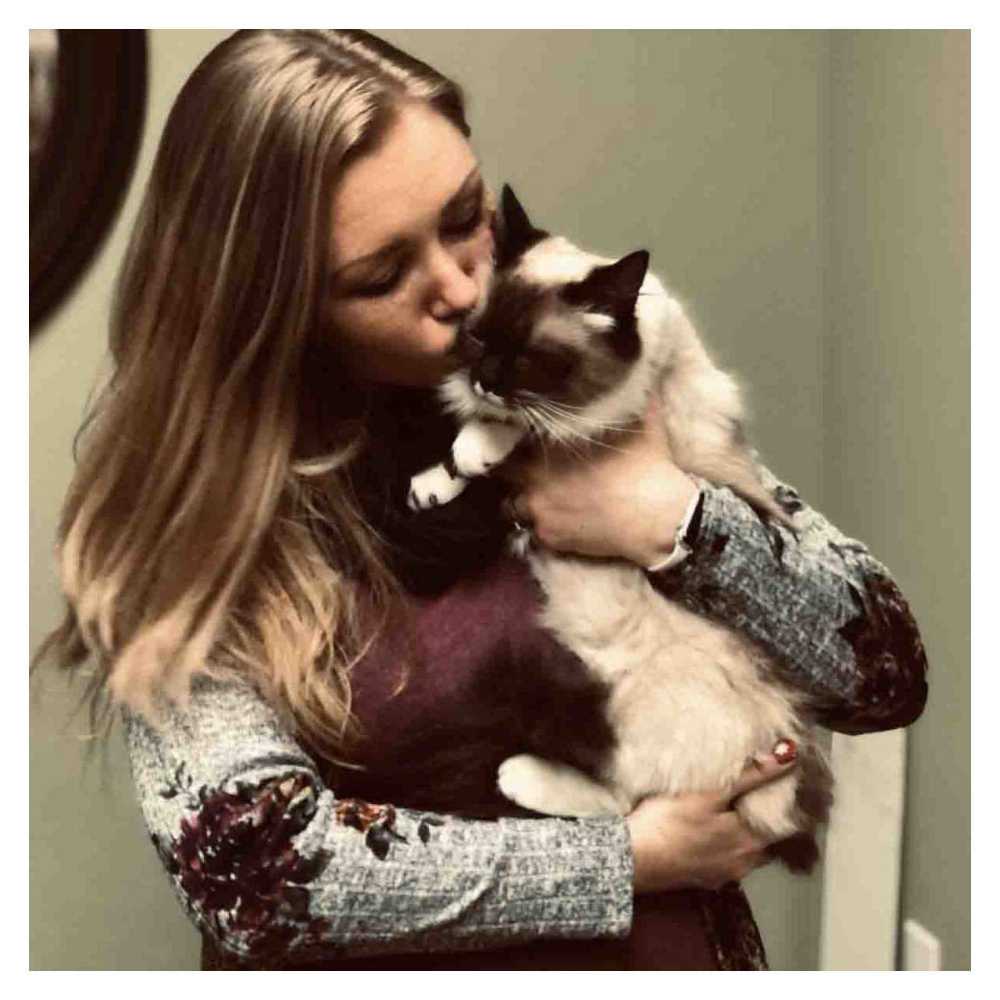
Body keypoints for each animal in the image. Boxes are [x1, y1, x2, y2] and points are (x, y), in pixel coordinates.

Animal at [407, 185, 833, 871]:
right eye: (477, 338)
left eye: (529, 357)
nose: (485, 380)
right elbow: (469, 461)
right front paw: (436, 480)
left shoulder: (601, 418)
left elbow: (525, 427)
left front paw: (481, 444)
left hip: (614, 697)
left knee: (625, 800)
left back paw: (517, 775)